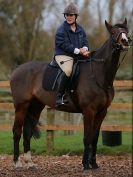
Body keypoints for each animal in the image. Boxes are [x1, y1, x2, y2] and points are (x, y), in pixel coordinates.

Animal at [10, 18, 131, 169]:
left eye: (126, 31)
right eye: (114, 32)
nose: (126, 41)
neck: (98, 74)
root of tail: (16, 70)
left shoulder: (101, 112)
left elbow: (95, 138)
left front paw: (94, 164)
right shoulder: (89, 111)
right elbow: (87, 138)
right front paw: (86, 165)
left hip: (35, 106)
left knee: (27, 132)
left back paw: (30, 163)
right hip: (21, 106)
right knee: (17, 132)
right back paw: (17, 163)